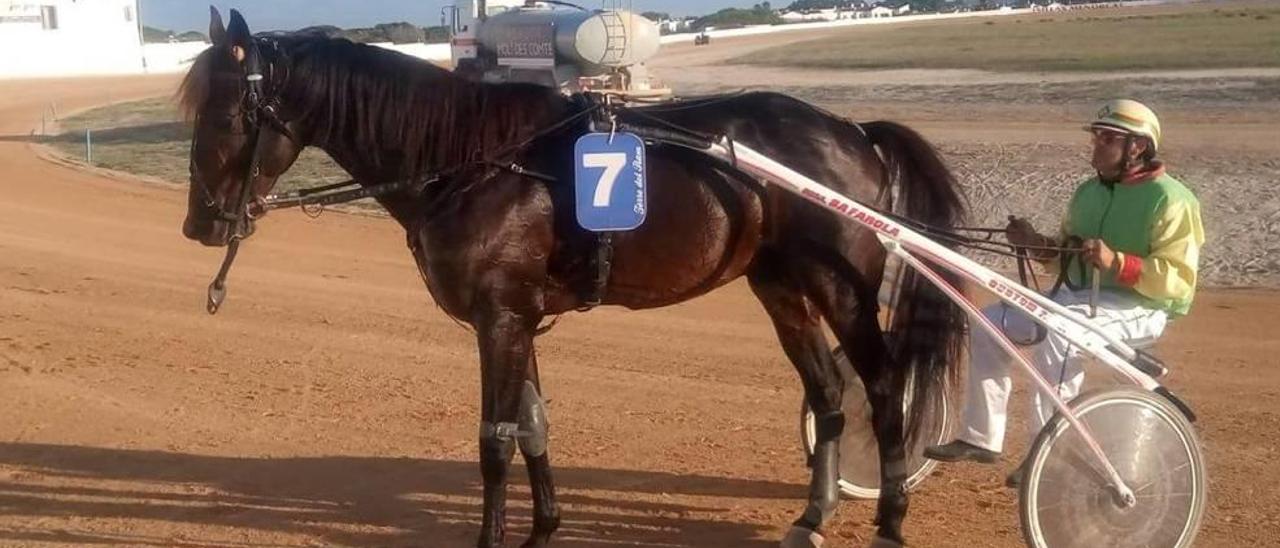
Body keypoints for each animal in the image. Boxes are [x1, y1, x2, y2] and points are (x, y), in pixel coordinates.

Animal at [177, 8, 962, 548]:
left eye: (228, 113)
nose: (201, 225)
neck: (473, 159)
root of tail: (853, 132)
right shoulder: (517, 316)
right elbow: (532, 426)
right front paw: (542, 528)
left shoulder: (499, 318)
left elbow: (494, 441)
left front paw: (495, 536)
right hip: (781, 286)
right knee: (827, 395)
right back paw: (812, 516)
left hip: (843, 287)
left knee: (882, 390)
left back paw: (890, 521)